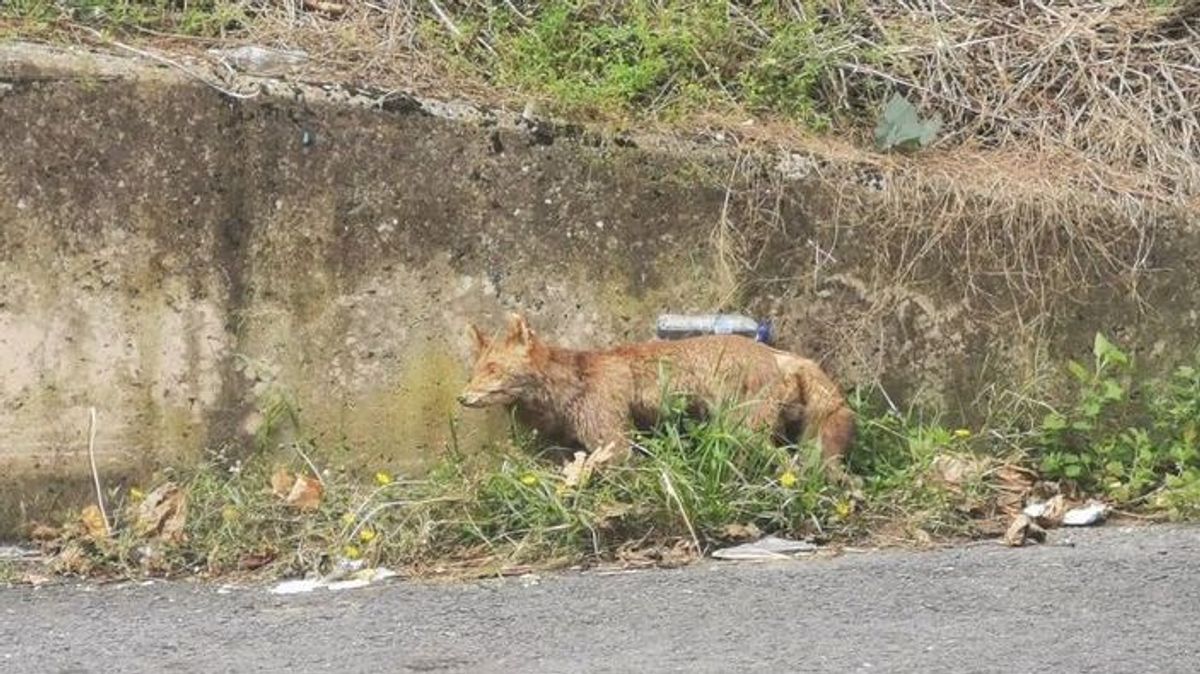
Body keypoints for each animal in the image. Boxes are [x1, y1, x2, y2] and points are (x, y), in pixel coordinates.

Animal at [453, 311, 859, 479]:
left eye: (494, 370)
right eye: (475, 372)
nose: (461, 397)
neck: (575, 382)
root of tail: (777, 354)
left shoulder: (614, 439)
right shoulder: (574, 443)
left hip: (742, 433)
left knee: (789, 465)